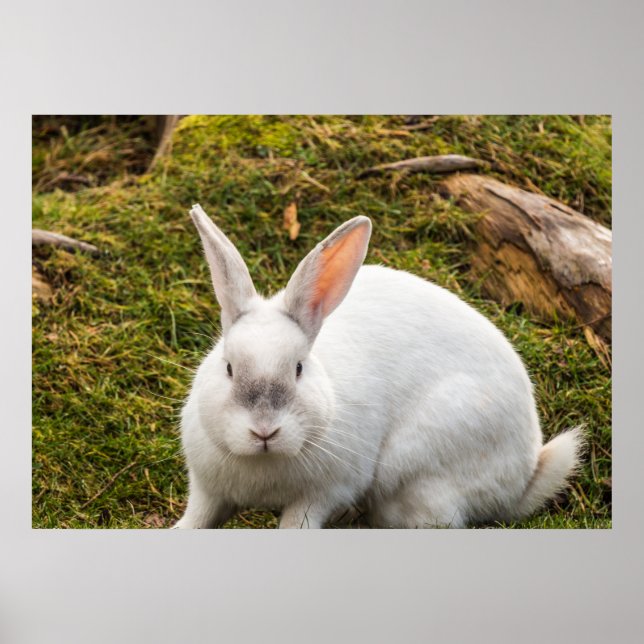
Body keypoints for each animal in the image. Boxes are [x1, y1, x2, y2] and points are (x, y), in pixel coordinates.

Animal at [173, 204, 583, 529]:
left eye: (299, 368)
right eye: (228, 368)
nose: (264, 431)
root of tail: (525, 475)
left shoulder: (322, 494)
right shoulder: (208, 490)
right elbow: (198, 518)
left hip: (421, 470)